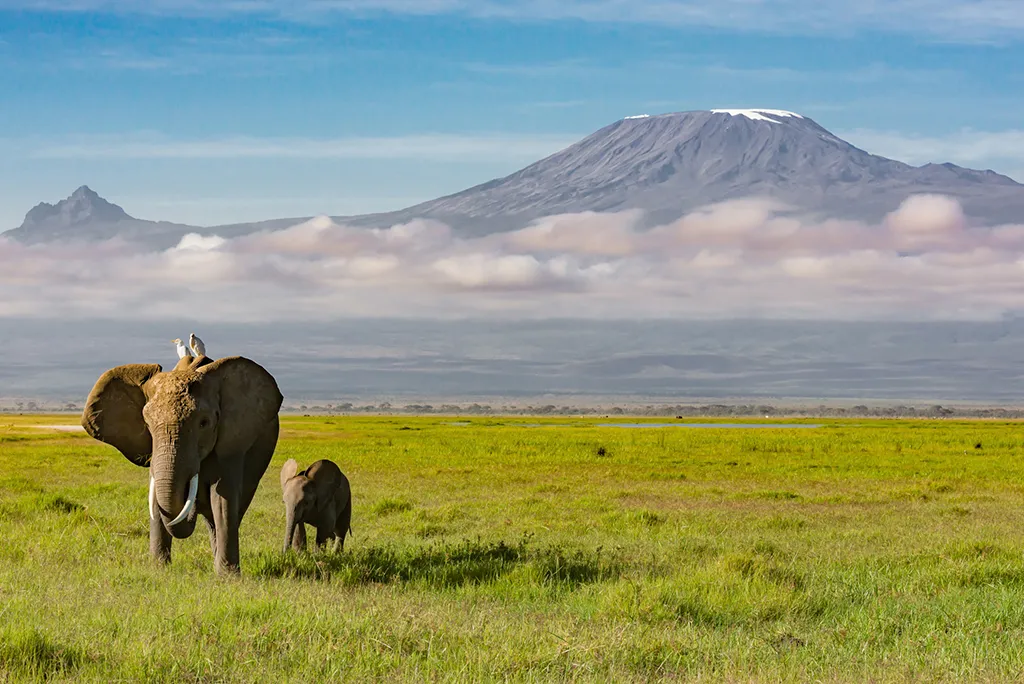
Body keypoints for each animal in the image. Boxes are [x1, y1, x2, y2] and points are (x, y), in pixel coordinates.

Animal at [81, 353, 283, 574]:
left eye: (204, 423)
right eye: (147, 423)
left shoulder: (232, 442)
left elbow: (223, 499)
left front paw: (228, 577)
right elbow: (156, 499)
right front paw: (159, 570)